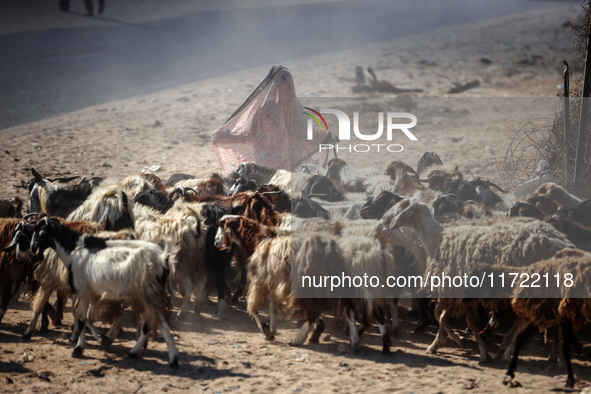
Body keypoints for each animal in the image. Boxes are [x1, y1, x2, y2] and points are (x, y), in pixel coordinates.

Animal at [30, 217, 178, 368]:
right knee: (152, 323)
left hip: (148, 294)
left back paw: (170, 359)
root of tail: (163, 257)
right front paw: (103, 339)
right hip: (148, 296)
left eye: (40, 232)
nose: (32, 249)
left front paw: (79, 348)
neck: (73, 251)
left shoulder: (83, 292)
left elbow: (81, 317)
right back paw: (139, 352)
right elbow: (87, 317)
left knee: (159, 323)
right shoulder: (95, 294)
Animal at [384, 199, 572, 362]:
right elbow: (447, 317)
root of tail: (561, 243)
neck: (437, 239)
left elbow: (443, 316)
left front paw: (443, 343)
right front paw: (455, 341)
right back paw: (553, 355)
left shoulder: (454, 287)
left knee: (525, 319)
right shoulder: (461, 292)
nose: (385, 220)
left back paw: (510, 351)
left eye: (401, 206)